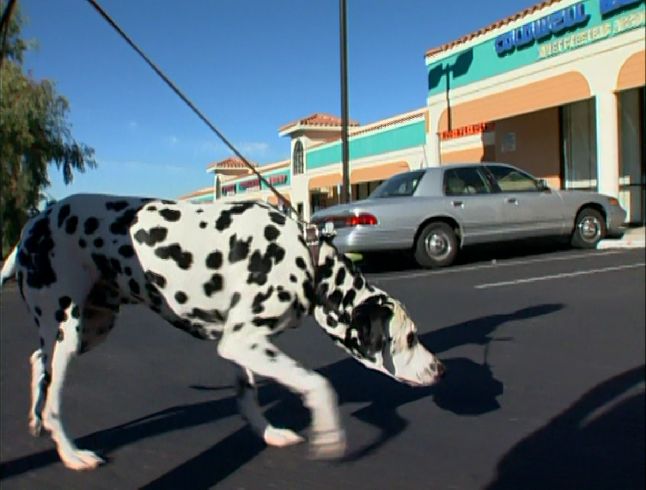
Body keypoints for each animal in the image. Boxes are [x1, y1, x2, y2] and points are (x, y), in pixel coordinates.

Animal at [1, 194, 446, 470]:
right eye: (410, 338)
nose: (440, 369)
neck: (307, 256)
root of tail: (33, 223)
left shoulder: (243, 346)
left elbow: (248, 396)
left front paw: (269, 433)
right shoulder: (244, 341)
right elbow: (318, 384)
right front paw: (329, 433)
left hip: (90, 327)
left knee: (39, 362)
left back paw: (36, 419)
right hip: (68, 330)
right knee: (54, 397)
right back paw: (71, 452)